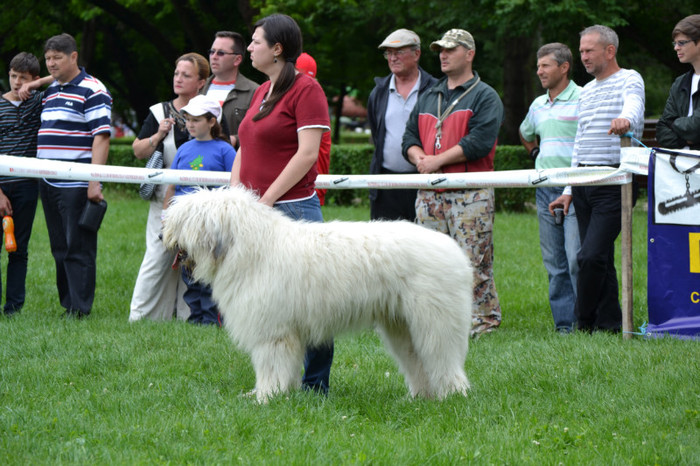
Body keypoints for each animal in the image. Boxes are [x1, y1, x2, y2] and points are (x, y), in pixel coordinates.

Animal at [161, 187, 474, 402]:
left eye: (184, 218)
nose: (162, 234)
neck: (251, 248)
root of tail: (455, 250)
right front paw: (280, 395)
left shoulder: (273, 332)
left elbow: (270, 366)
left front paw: (264, 397)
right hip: (402, 326)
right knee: (418, 361)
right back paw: (420, 398)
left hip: (435, 321)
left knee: (443, 358)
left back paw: (452, 397)